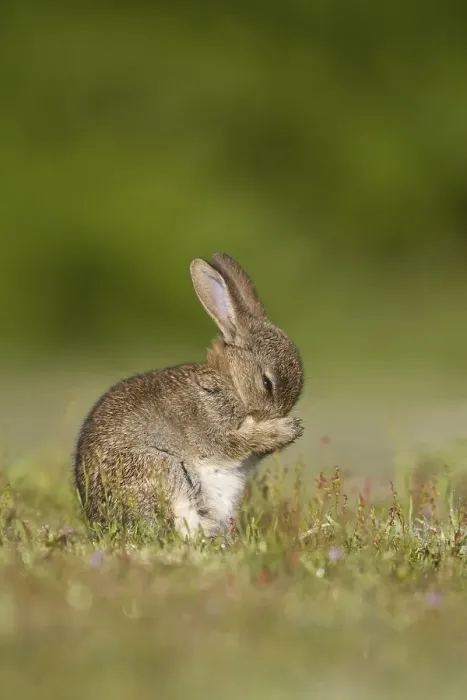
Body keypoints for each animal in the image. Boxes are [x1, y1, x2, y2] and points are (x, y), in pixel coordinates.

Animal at [74, 252, 304, 539]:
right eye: (266, 383)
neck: (231, 384)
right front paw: (287, 430)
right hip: (163, 469)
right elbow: (233, 443)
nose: (278, 416)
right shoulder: (212, 425)